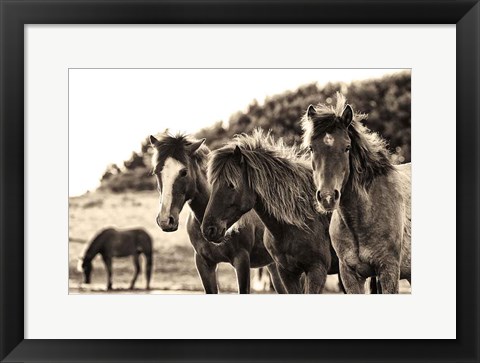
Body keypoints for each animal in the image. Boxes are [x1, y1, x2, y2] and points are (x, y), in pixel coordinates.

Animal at [148, 132, 286, 294]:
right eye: (156, 171)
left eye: (184, 172)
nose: (165, 220)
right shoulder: (203, 264)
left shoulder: (242, 261)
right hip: (275, 268)